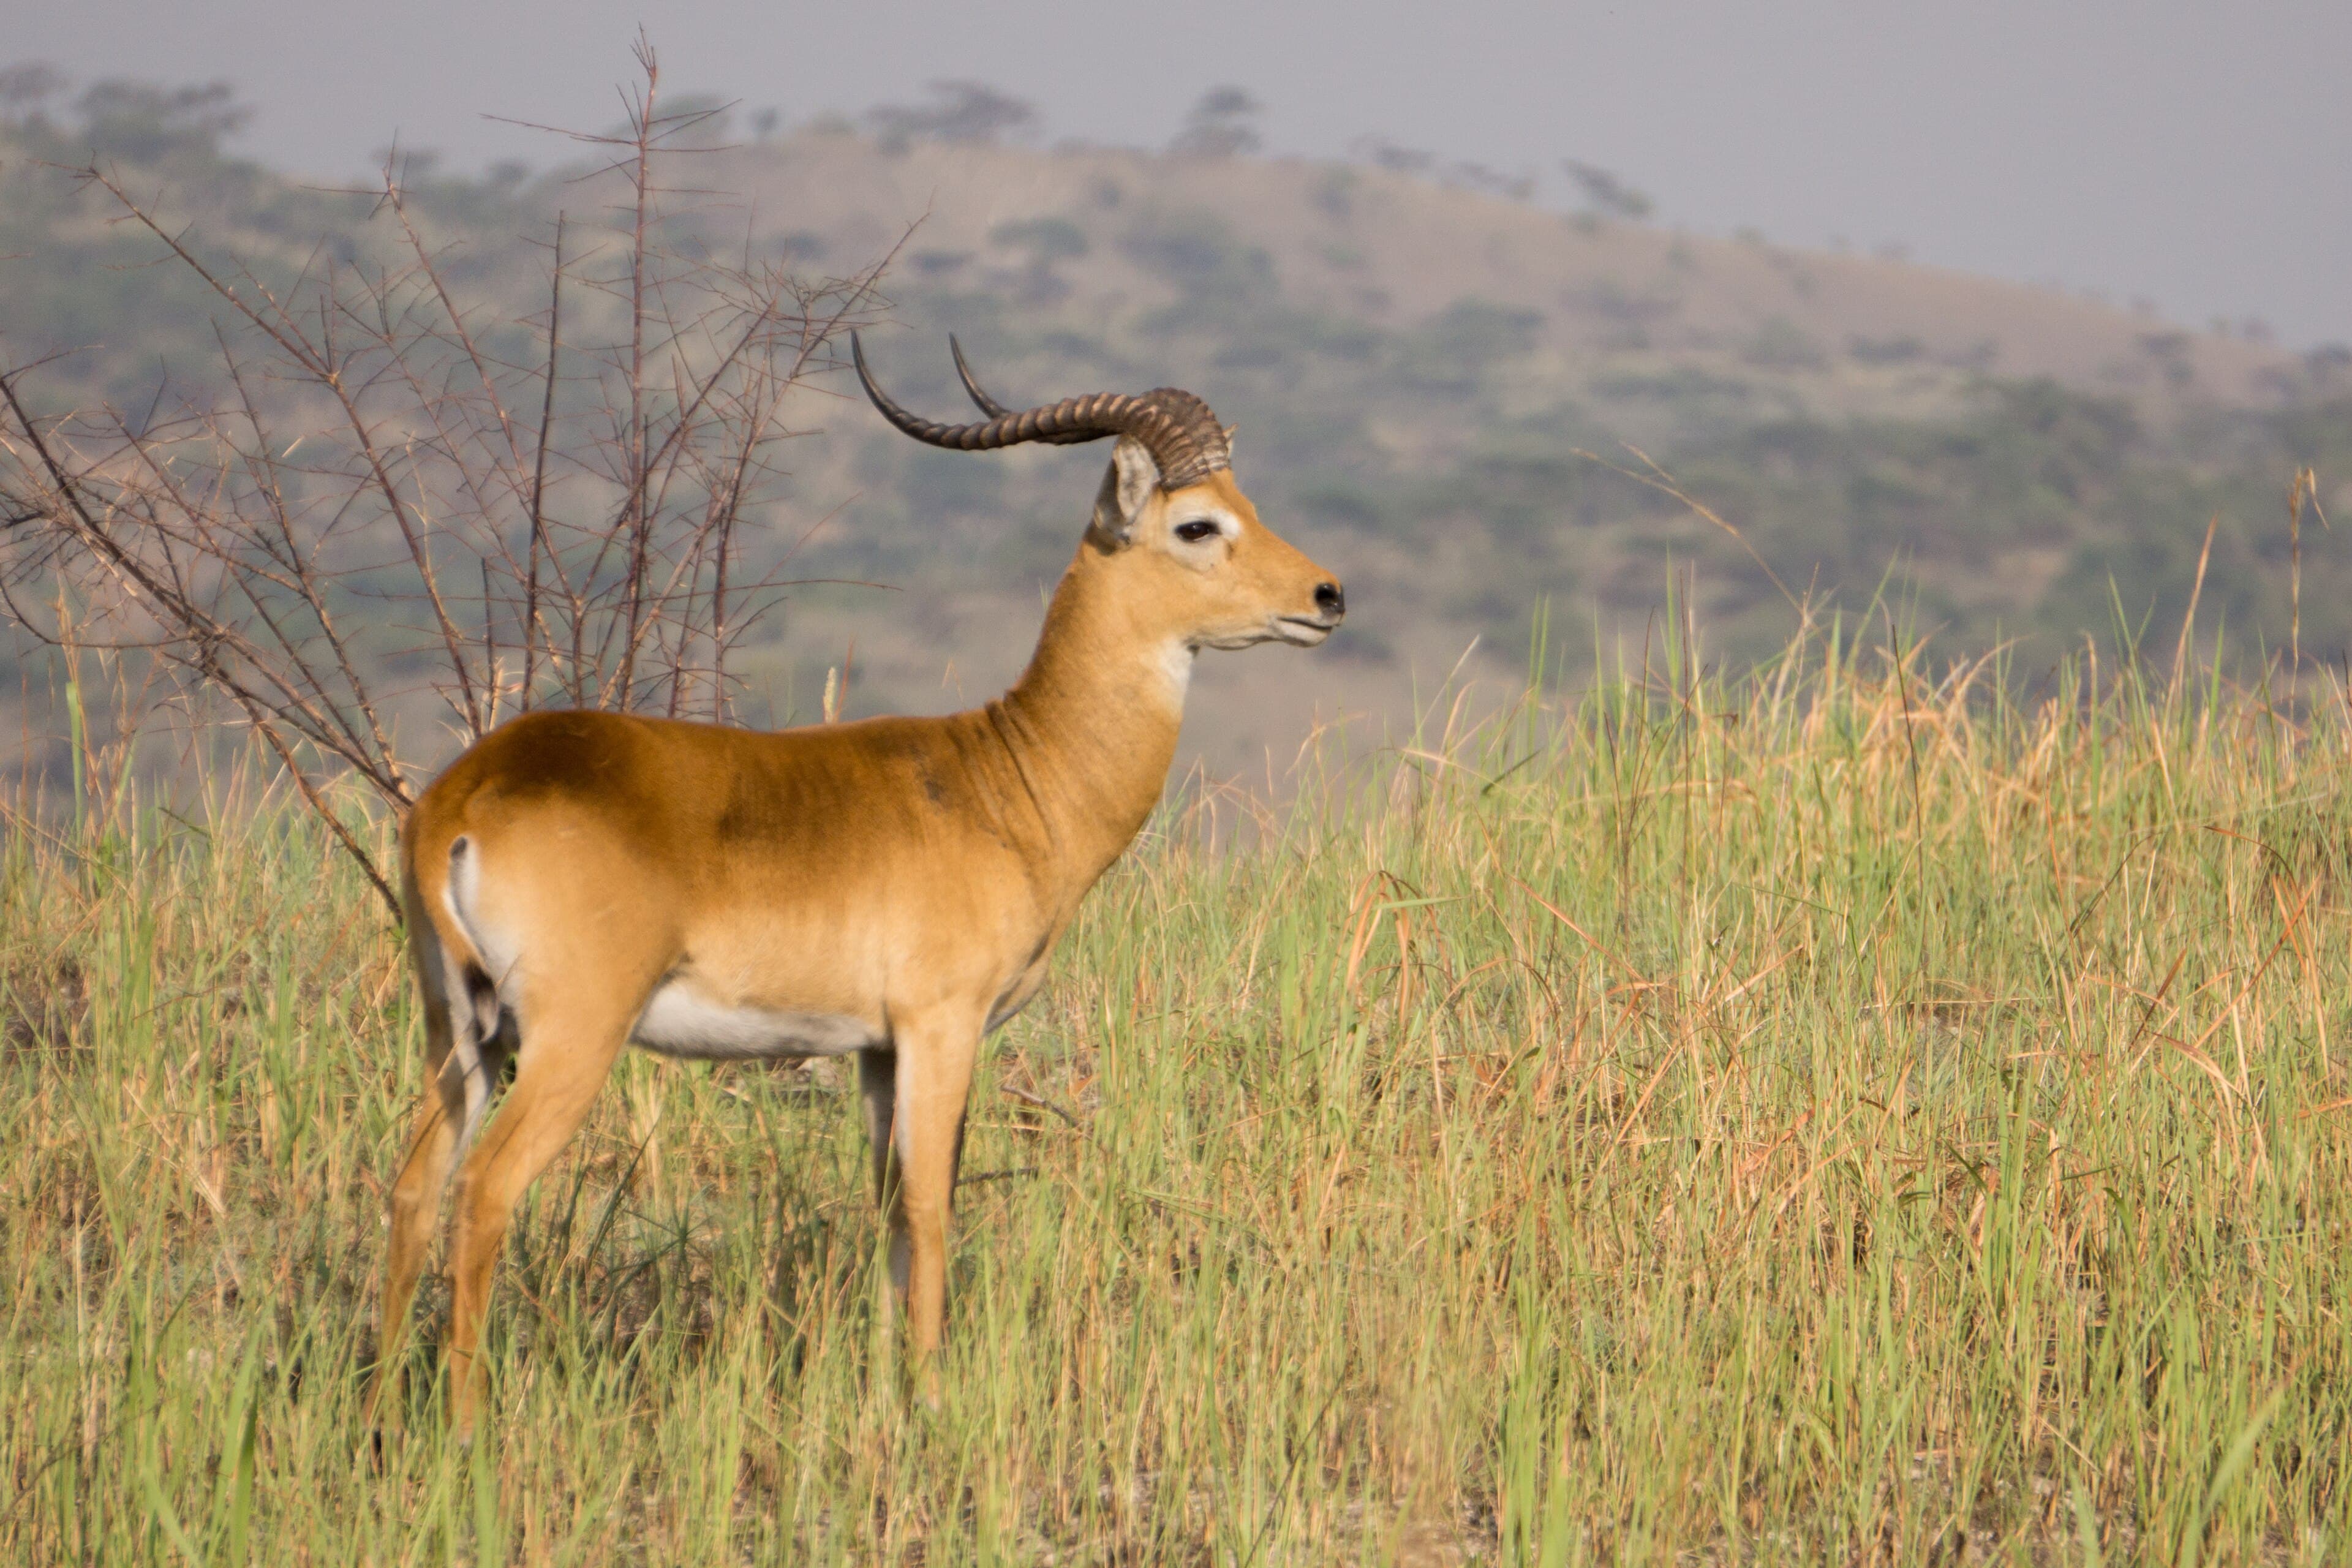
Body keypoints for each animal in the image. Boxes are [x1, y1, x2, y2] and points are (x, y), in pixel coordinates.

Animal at [367, 336, 1346, 1431]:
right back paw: (466, 1429)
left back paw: (379, 1410)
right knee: (484, 1192)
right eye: (1198, 523)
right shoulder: (941, 1024)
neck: (1010, 778)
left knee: (413, 1190)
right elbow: (932, 1201)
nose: (1327, 596)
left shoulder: (876, 1049)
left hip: (463, 1037)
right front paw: (933, 1395)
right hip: (571, 1037)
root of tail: (462, 800)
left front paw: (884, 1385)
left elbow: (886, 1206)